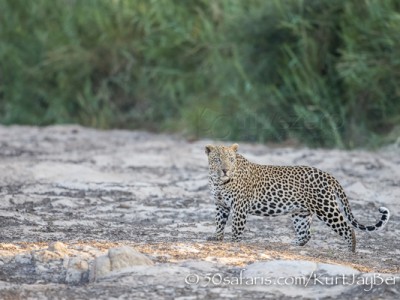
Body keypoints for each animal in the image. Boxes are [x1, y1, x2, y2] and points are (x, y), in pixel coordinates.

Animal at [206, 144, 390, 252]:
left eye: (230, 159)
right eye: (217, 160)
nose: (225, 170)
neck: (218, 181)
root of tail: (329, 175)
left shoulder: (239, 206)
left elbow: (236, 227)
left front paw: (233, 242)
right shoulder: (221, 205)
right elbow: (219, 222)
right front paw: (216, 238)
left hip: (326, 208)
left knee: (347, 228)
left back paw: (350, 251)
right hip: (301, 212)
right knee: (306, 233)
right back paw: (291, 244)